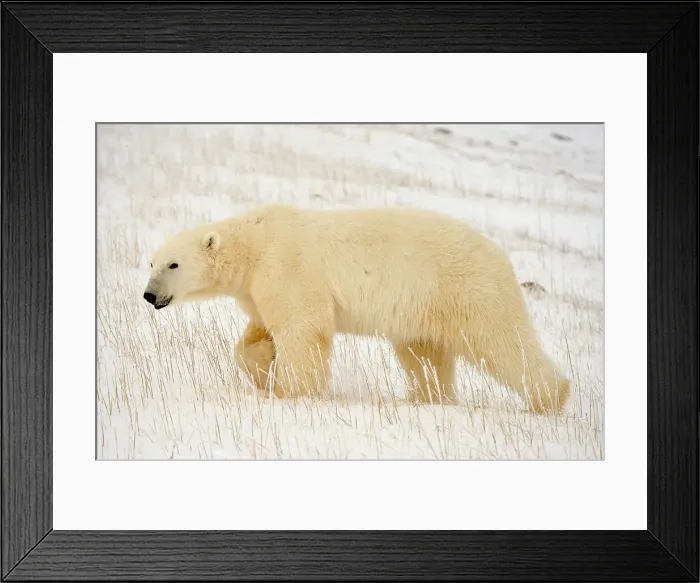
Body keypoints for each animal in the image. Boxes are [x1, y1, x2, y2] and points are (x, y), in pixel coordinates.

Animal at [143, 203, 571, 414]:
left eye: (173, 265)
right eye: (151, 262)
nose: (148, 295)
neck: (256, 242)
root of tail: (501, 255)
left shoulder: (288, 266)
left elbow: (303, 326)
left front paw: (292, 392)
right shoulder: (257, 286)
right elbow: (260, 330)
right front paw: (263, 366)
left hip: (466, 290)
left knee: (502, 342)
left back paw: (549, 399)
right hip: (423, 309)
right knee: (424, 355)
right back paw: (427, 399)